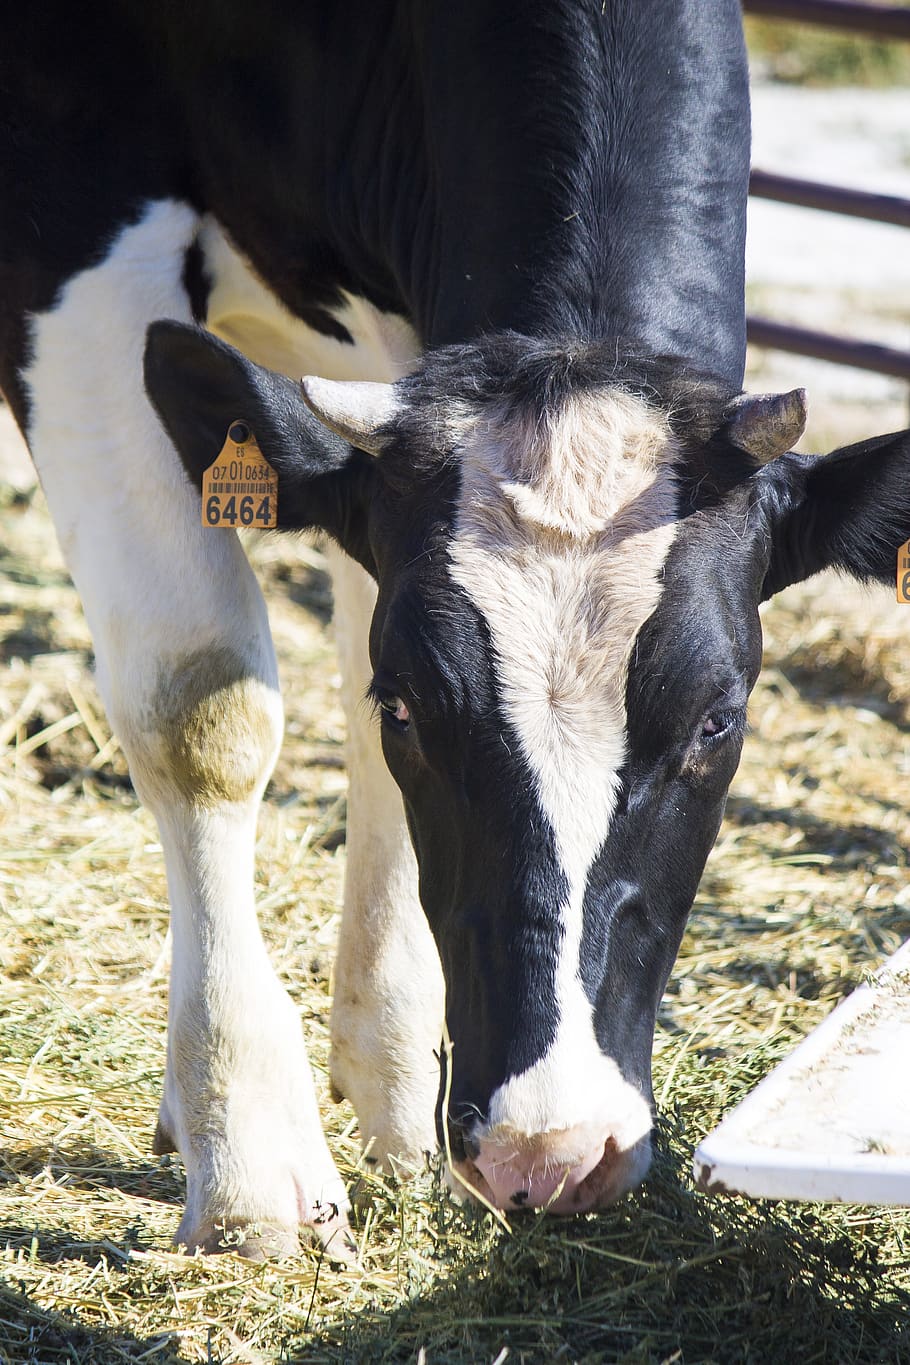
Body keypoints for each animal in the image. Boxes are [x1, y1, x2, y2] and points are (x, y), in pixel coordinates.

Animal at [1, 0, 910, 1255]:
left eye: (717, 722)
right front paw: (249, 1164)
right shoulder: (68, 217)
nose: (551, 1150)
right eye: (413, 710)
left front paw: (391, 1089)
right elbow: (202, 707)